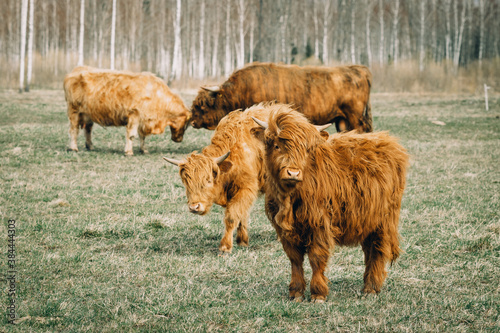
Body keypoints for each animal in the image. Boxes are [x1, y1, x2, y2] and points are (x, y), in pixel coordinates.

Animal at [252, 105, 408, 300]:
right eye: (277, 145)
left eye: (305, 149)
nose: (293, 173)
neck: (290, 198)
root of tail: (387, 141)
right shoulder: (285, 230)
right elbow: (295, 259)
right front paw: (296, 292)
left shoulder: (320, 222)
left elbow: (316, 256)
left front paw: (318, 294)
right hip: (367, 219)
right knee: (369, 250)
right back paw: (367, 285)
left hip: (384, 220)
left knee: (378, 250)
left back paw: (371, 288)